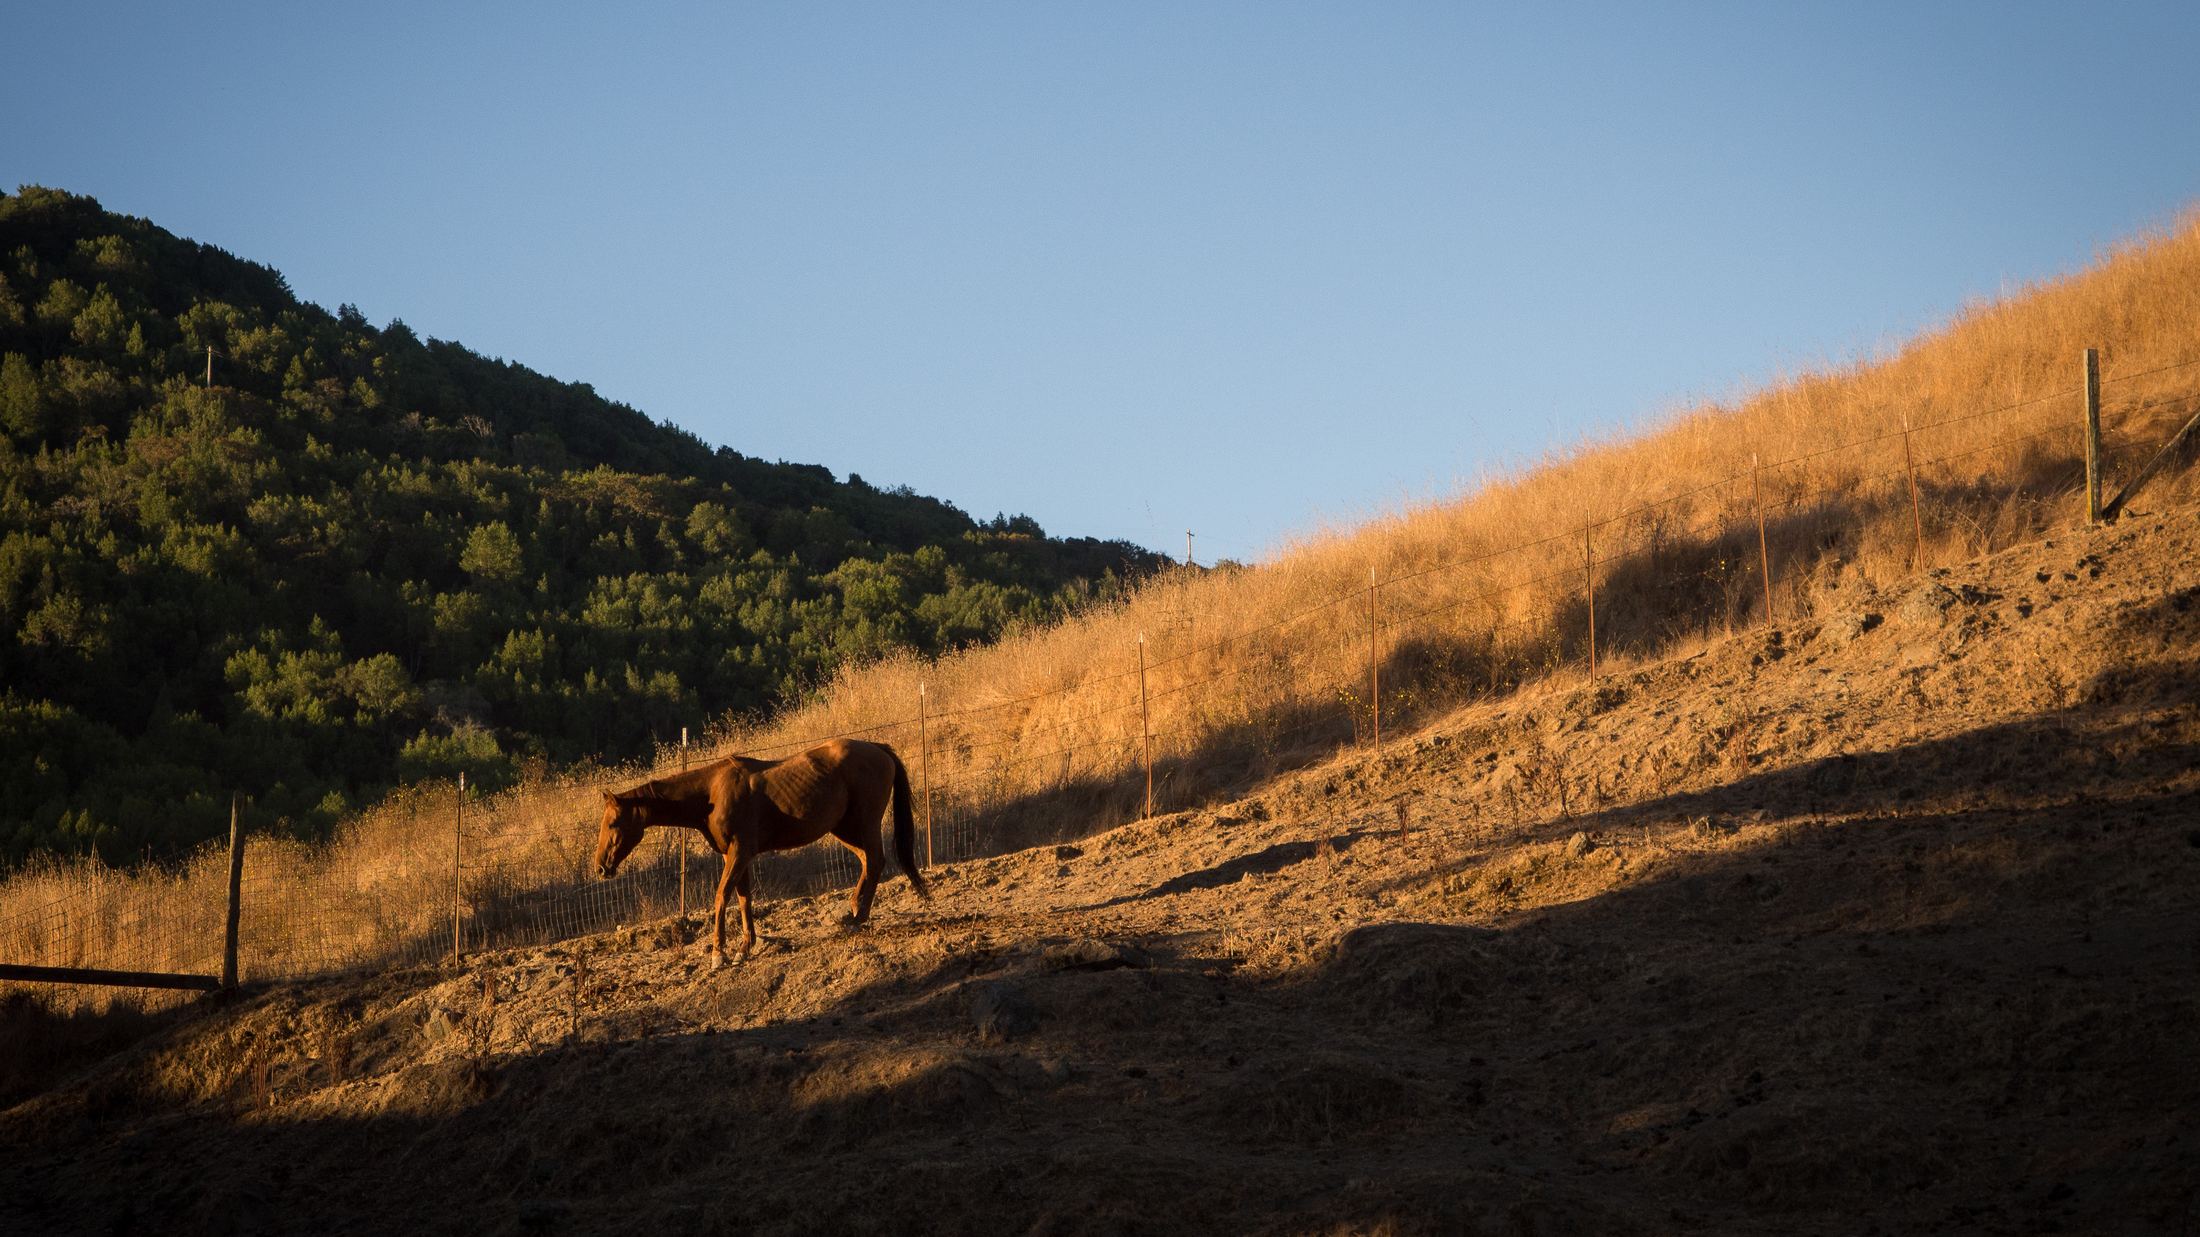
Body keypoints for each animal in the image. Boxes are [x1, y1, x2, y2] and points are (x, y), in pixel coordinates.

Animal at [593, 738, 929, 966]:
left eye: (612, 823)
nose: (600, 868)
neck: (711, 793)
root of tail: (878, 748)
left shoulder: (740, 852)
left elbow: (722, 896)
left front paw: (719, 955)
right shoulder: (735, 856)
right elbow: (744, 899)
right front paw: (744, 947)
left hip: (864, 824)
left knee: (875, 860)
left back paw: (858, 917)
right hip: (844, 829)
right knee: (866, 861)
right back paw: (853, 912)